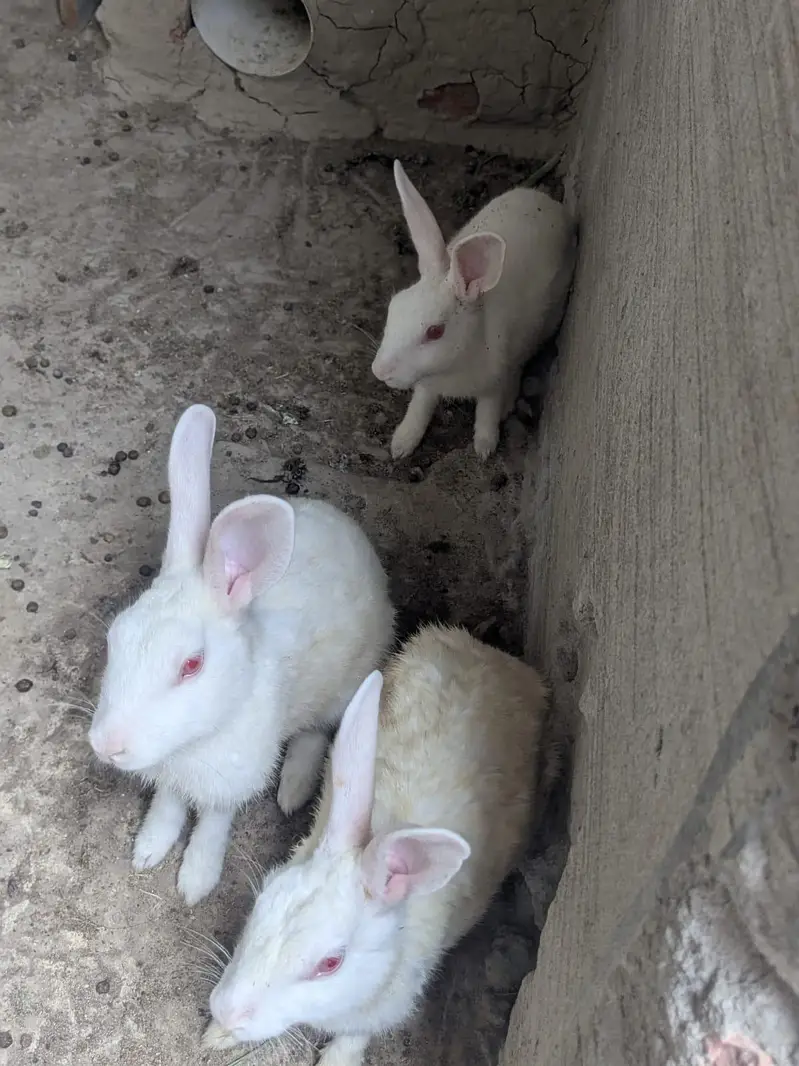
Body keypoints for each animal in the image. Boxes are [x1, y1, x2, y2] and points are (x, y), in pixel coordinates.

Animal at [88, 404, 395, 905]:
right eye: (115, 637)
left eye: (191, 665)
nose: (106, 746)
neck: (193, 741)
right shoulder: (170, 778)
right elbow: (168, 805)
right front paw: (149, 849)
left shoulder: (231, 779)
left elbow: (213, 823)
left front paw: (195, 880)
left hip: (345, 684)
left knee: (317, 732)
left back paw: (292, 790)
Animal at [203, 623, 556, 1065]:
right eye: (262, 900)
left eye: (330, 963)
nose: (226, 1010)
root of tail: (498, 659)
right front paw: (215, 1036)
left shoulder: (386, 1006)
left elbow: (356, 1035)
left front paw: (336, 1059)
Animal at [372, 159, 578, 460]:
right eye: (393, 307)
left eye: (435, 332)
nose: (379, 371)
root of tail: (552, 205)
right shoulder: (427, 385)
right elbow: (420, 406)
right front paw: (402, 443)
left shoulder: (492, 382)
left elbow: (487, 411)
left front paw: (484, 446)